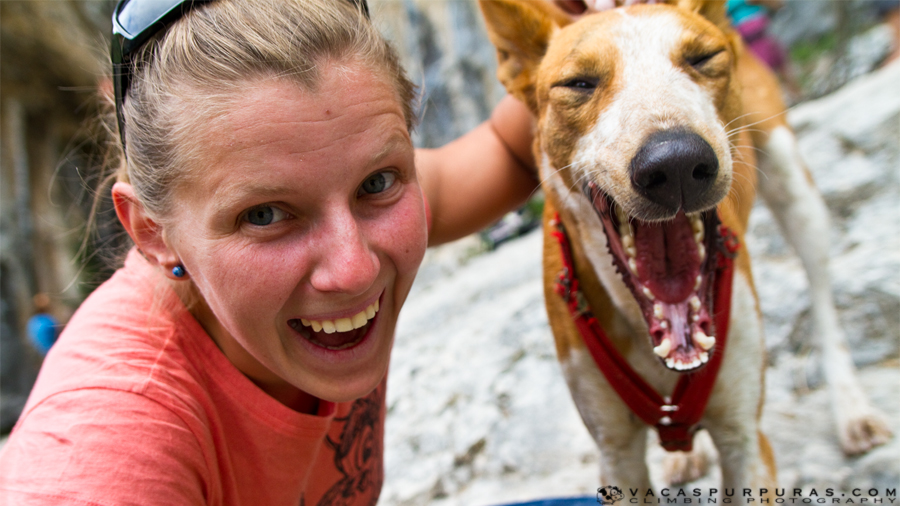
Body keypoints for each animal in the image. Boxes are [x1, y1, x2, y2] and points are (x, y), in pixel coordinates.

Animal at [478, 0, 891, 490]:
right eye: (579, 82)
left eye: (703, 58)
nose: (675, 162)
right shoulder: (616, 457)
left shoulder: (745, 440)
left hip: (797, 192)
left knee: (823, 298)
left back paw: (853, 409)